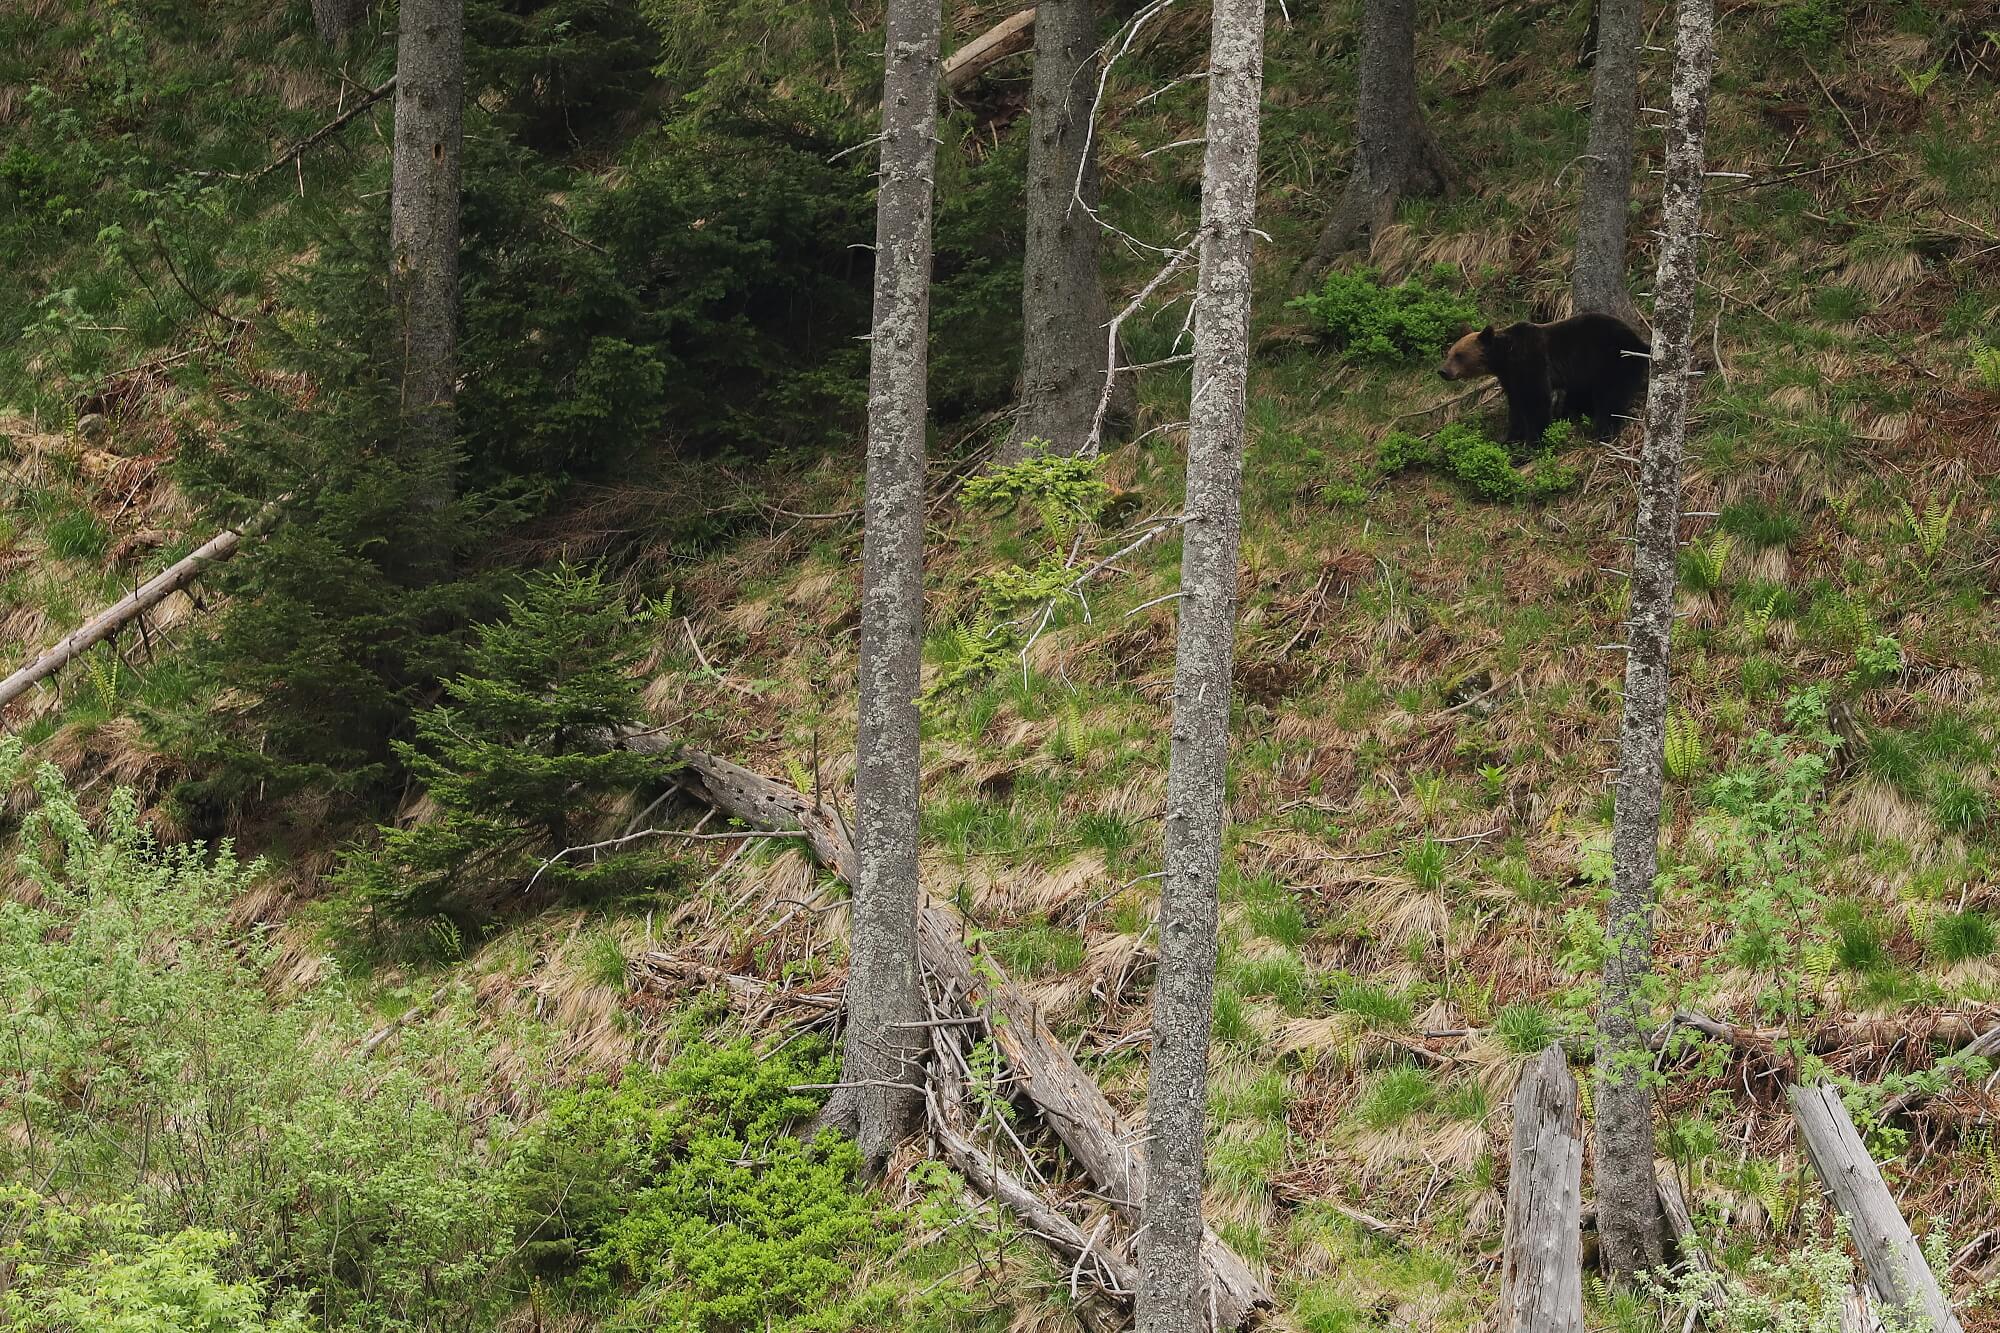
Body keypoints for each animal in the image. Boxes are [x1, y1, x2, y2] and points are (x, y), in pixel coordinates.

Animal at [1448, 312, 1648, 440]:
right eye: (1450, 353)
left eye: (1459, 355)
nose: (1443, 371)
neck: (1505, 357)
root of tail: (1641, 342)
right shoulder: (1511, 377)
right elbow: (1516, 404)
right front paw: (1510, 437)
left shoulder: (1531, 360)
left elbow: (1536, 400)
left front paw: (1534, 440)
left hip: (1612, 360)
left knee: (1610, 396)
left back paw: (1603, 431)